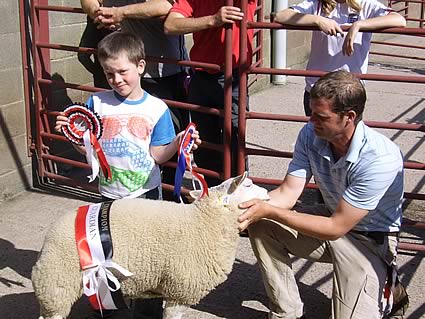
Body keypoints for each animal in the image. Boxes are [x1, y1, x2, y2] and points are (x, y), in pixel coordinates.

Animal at [32, 172, 268, 319]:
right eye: (248, 184)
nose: (267, 193)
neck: (204, 221)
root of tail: (49, 237)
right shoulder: (180, 291)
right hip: (57, 285)